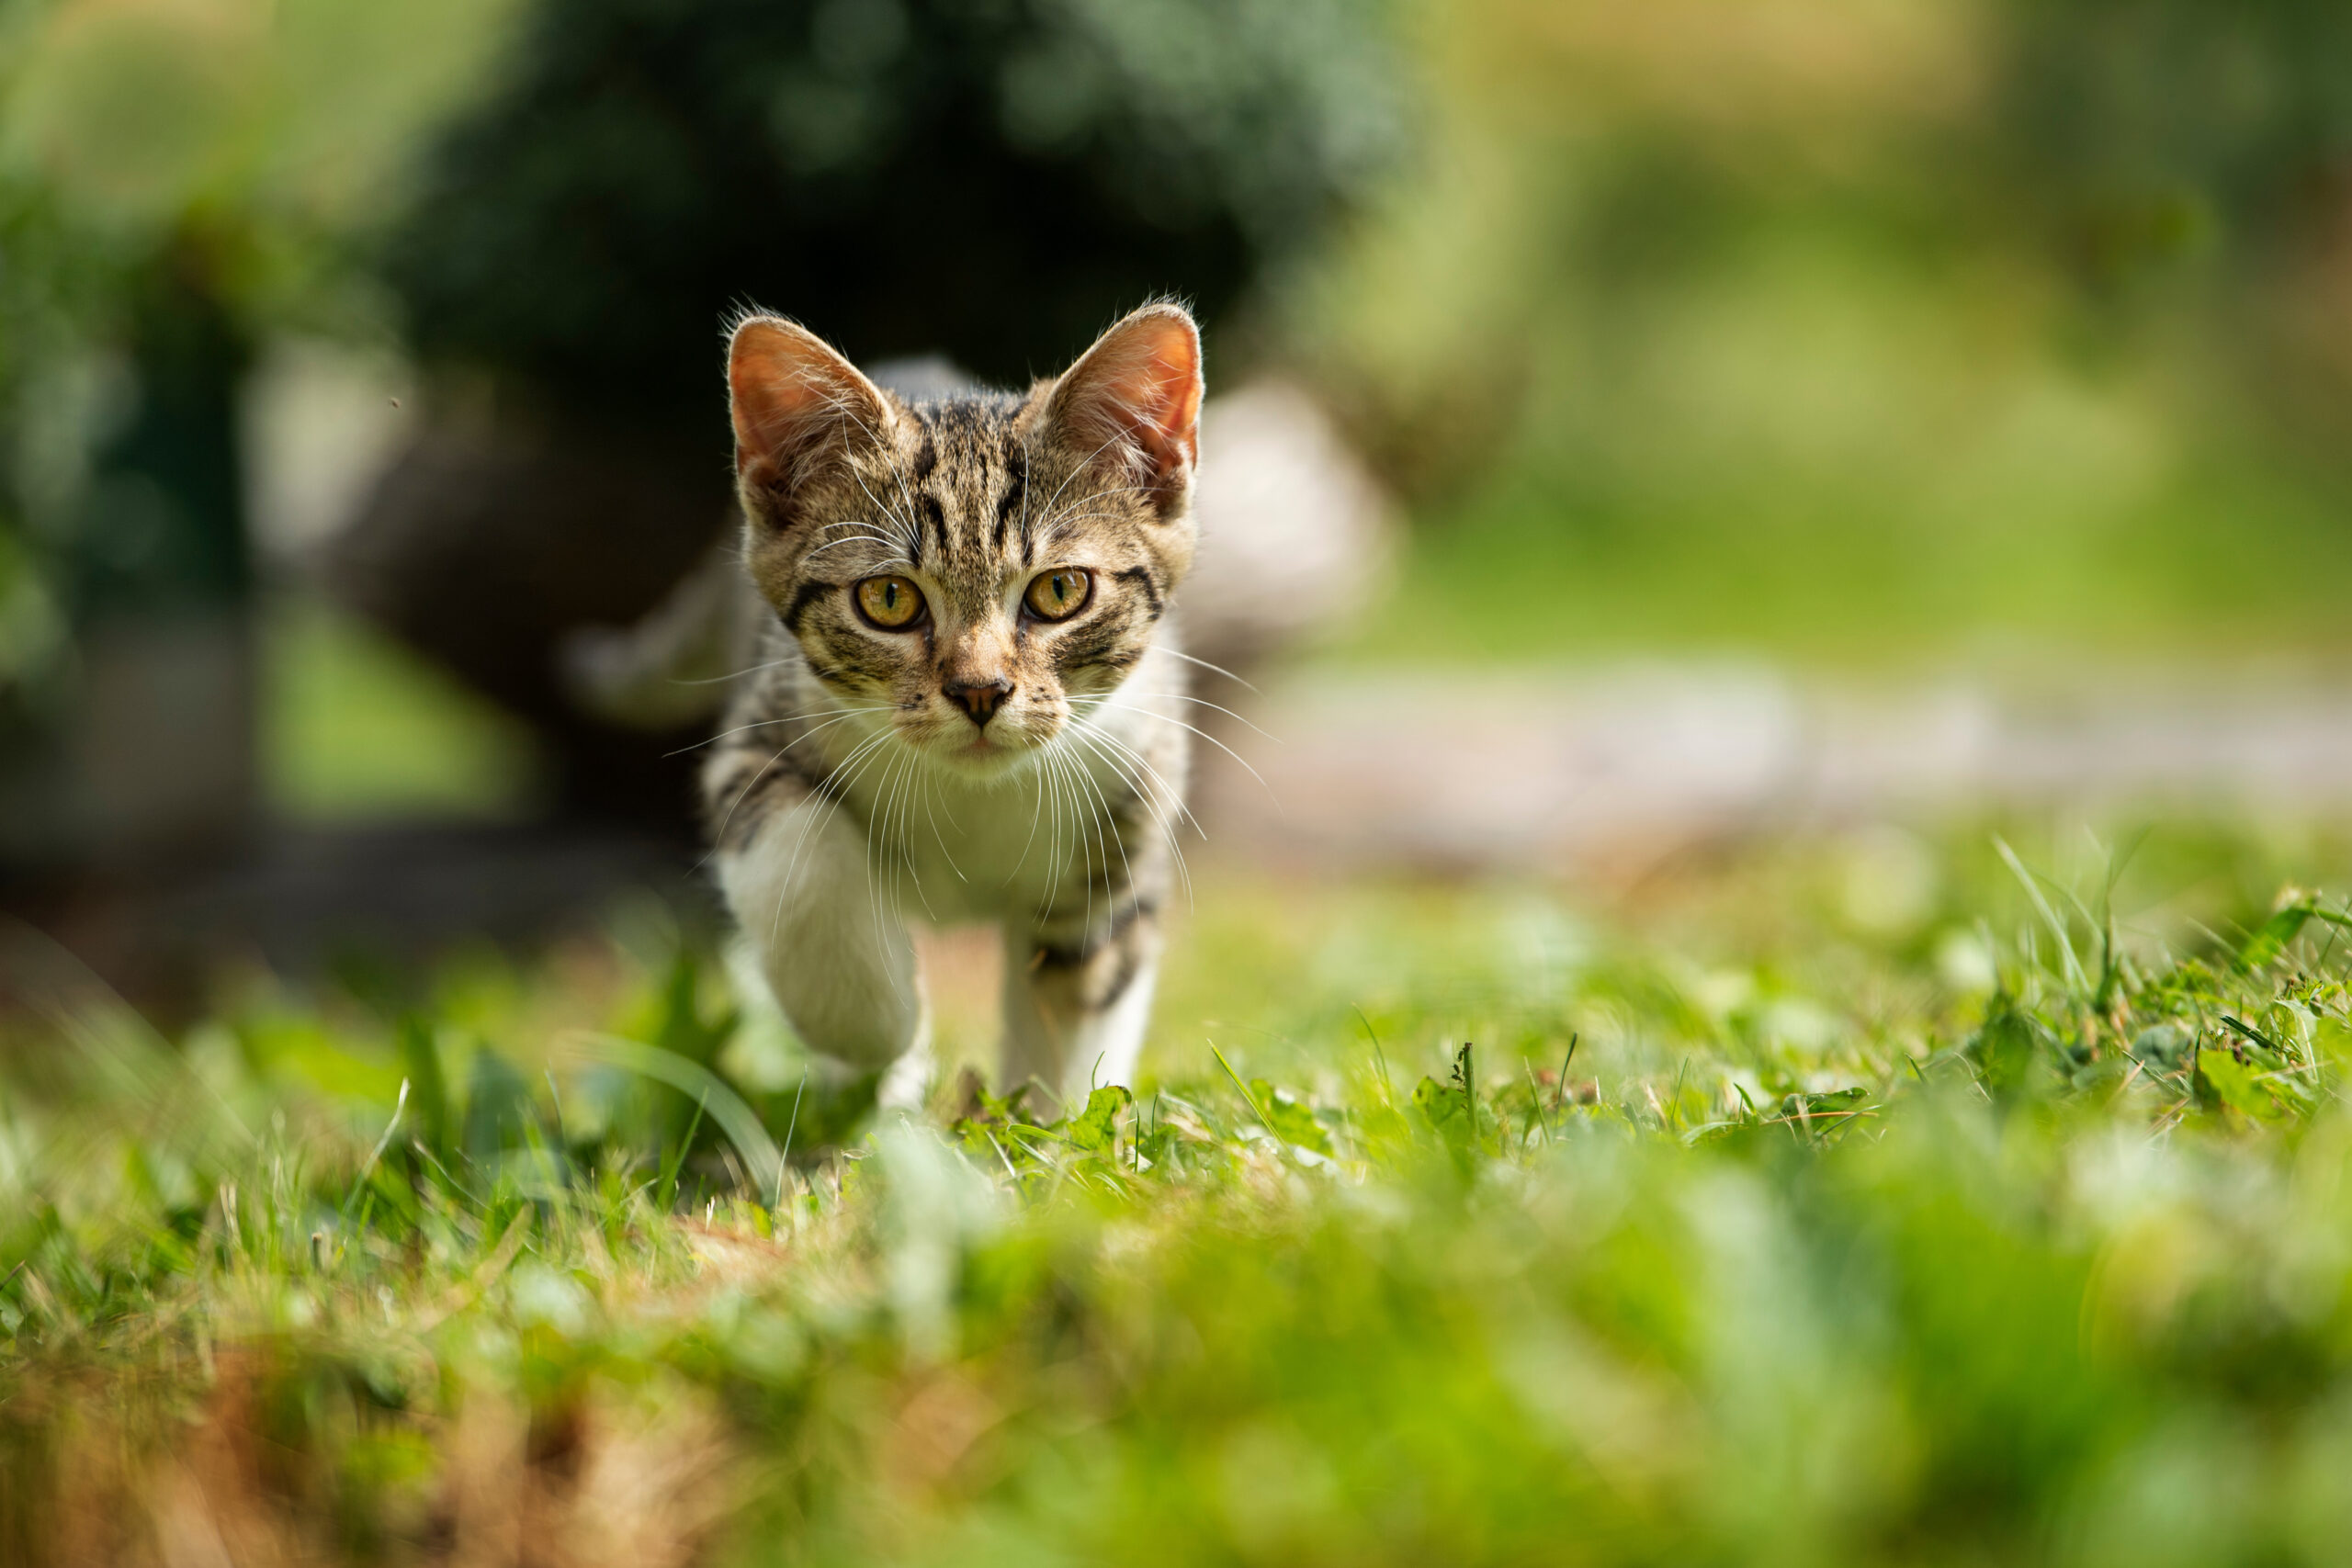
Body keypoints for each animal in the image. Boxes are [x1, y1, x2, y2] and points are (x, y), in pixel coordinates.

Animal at [700, 305, 1204, 1109]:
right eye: (887, 598)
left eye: (1060, 590)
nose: (980, 689)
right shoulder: (758, 727)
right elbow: (795, 860)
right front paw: (874, 1025)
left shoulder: (1138, 786)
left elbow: (1085, 979)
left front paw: (1051, 1124)